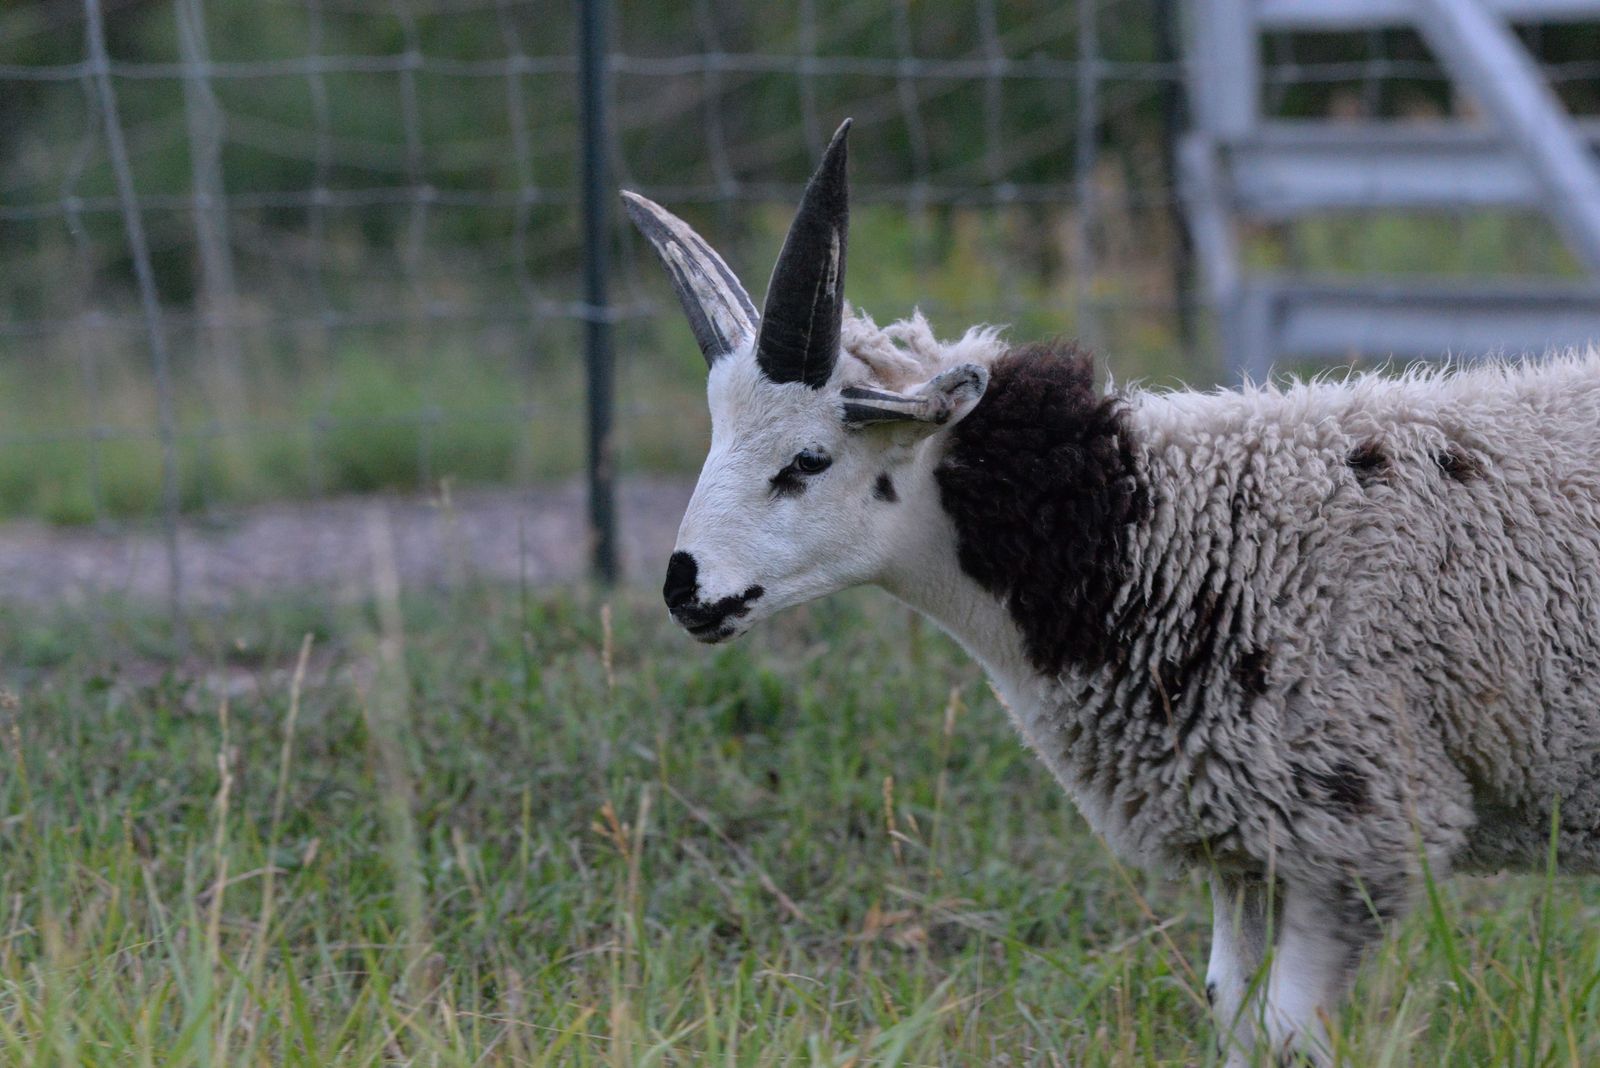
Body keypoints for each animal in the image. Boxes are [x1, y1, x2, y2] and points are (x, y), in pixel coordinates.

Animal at [624, 118, 1600, 1065]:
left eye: (810, 460)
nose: (683, 590)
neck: (1157, 537)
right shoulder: (1250, 843)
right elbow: (1237, 1019)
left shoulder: (1363, 827)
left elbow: (1288, 1032)